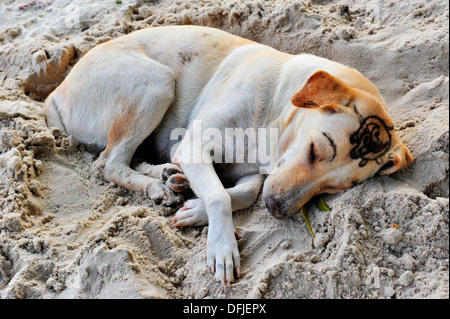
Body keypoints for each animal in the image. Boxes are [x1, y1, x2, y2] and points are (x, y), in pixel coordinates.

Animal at [44, 24, 414, 284]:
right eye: (315, 151)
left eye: (335, 188)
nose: (276, 209)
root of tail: (56, 93)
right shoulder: (191, 146)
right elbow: (220, 196)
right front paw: (222, 249)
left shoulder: (251, 175)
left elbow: (242, 194)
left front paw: (196, 210)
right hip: (156, 82)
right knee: (109, 164)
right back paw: (157, 186)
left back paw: (169, 178)